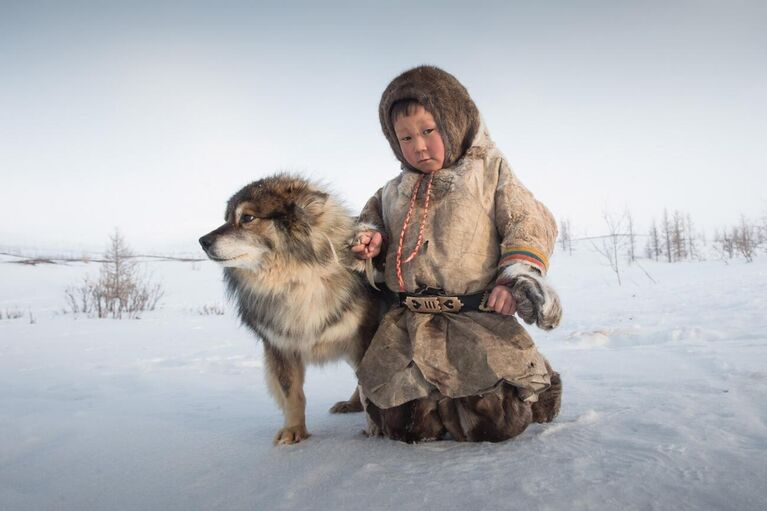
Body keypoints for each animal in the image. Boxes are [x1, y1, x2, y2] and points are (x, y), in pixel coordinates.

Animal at [198, 175, 378, 444]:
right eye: (227, 218)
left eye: (247, 218)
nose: (202, 241)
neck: (296, 281)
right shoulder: (281, 346)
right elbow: (292, 394)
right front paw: (294, 431)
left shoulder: (364, 338)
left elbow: (369, 388)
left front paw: (375, 430)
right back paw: (349, 404)